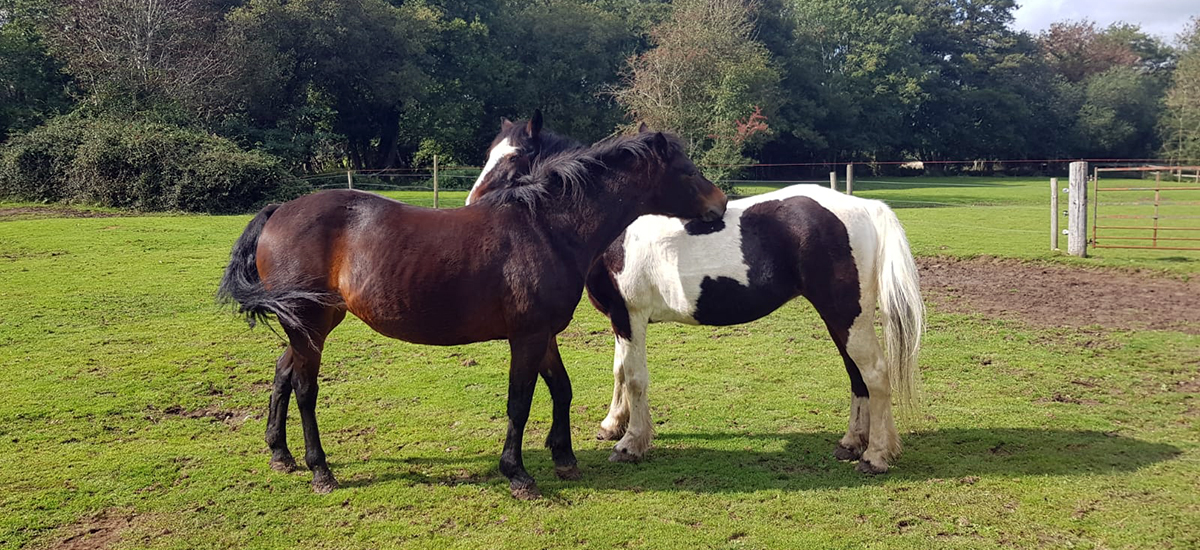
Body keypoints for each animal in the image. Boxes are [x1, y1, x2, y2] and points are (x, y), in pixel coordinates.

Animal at [219, 129, 724, 499]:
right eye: (685, 169)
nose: (719, 205)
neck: (545, 229)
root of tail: (279, 210)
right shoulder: (525, 337)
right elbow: (519, 402)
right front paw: (517, 474)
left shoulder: (544, 335)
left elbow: (561, 389)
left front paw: (564, 459)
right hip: (308, 324)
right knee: (305, 389)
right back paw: (320, 470)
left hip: (313, 325)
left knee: (283, 373)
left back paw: (280, 454)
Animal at [463, 114, 921, 475]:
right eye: (490, 153)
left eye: (513, 157)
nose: (473, 204)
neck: (615, 229)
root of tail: (865, 207)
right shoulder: (619, 318)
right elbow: (619, 371)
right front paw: (613, 424)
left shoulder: (630, 317)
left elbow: (635, 377)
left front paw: (631, 443)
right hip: (841, 318)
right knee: (857, 376)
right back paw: (852, 443)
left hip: (845, 314)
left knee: (875, 374)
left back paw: (876, 455)